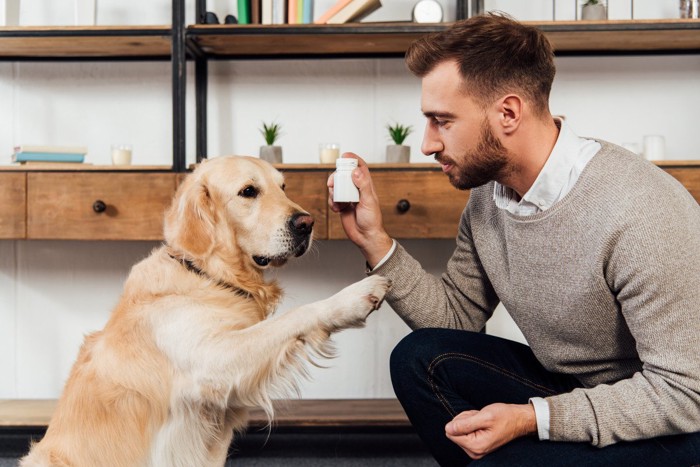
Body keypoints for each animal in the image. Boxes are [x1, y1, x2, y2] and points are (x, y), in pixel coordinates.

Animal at [21, 156, 392, 467]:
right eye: (248, 191)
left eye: (283, 187)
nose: (307, 223)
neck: (210, 276)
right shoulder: (211, 362)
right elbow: (296, 315)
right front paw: (354, 296)